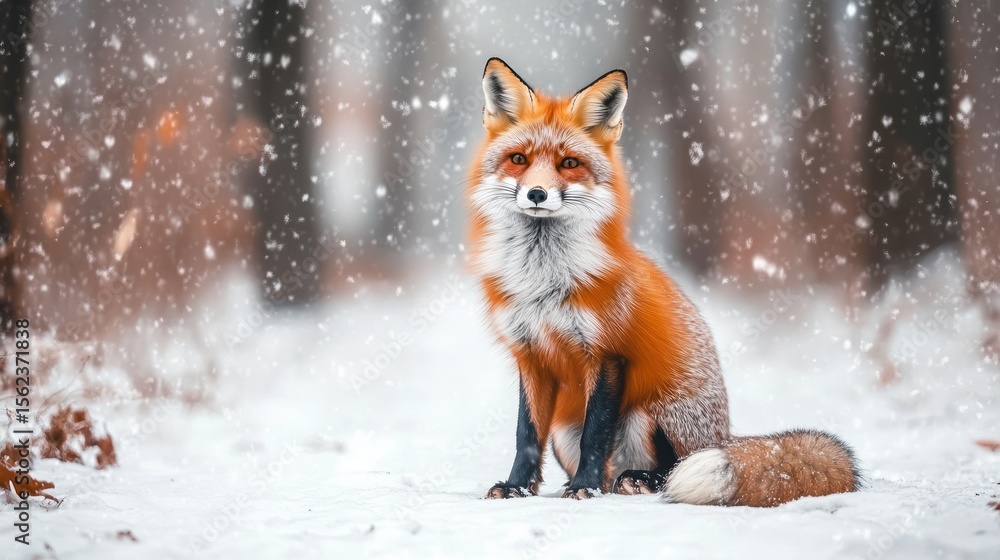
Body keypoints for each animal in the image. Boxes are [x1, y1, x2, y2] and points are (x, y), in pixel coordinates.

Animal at [466, 58, 860, 506]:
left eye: (568, 163)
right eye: (518, 159)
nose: (536, 193)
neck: (542, 284)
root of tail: (723, 436)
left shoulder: (608, 354)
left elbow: (595, 435)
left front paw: (584, 487)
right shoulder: (530, 356)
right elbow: (526, 435)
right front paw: (517, 486)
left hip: (648, 414)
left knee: (668, 465)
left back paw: (634, 480)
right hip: (564, 433)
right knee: (605, 464)